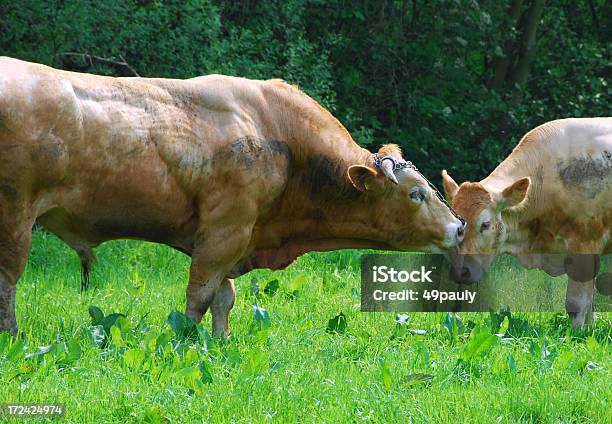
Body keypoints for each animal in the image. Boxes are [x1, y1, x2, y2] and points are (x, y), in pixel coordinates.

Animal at [0, 58, 462, 338]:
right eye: (417, 194)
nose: (458, 227)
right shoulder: (226, 230)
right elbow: (201, 294)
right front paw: (187, 339)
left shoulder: (234, 238)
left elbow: (225, 296)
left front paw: (220, 342)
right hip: (15, 214)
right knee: (8, 279)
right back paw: (12, 335)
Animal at [442, 117, 612, 326]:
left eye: (486, 225)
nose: (460, 272)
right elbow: (590, 303)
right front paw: (589, 329)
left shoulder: (583, 247)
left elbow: (577, 304)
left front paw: (577, 332)